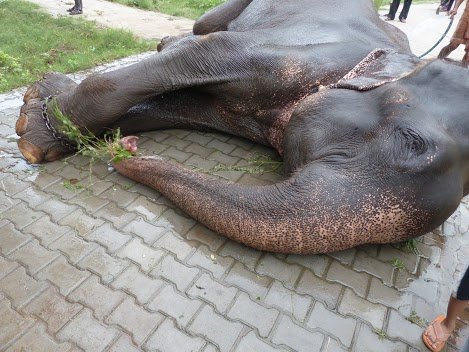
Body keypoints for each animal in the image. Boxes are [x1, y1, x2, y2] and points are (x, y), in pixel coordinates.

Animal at [14, 0, 468, 253]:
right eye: (411, 141)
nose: (129, 151)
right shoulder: (295, 57)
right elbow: (208, 51)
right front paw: (35, 130)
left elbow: (179, 107)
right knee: (201, 31)